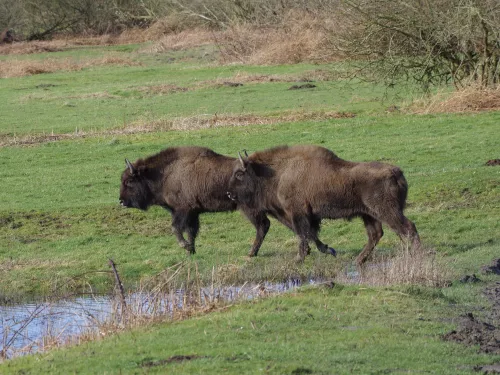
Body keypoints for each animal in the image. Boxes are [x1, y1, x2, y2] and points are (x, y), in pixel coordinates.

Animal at [119, 146, 270, 256]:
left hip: (249, 208)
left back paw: (251, 252)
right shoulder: (192, 213)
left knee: (263, 225)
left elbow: (175, 228)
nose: (121, 201)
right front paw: (191, 251)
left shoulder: (183, 210)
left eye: (129, 181)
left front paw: (185, 246)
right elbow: (190, 232)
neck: (166, 174)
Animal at [229, 145, 420, 264]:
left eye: (239, 174)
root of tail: (396, 172)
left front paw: (299, 259)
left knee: (407, 228)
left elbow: (303, 235)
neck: (277, 172)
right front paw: (328, 250)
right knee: (376, 234)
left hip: (387, 212)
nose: (229, 194)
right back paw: (358, 260)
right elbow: (310, 235)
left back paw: (418, 255)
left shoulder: (297, 213)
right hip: (369, 215)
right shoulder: (305, 216)